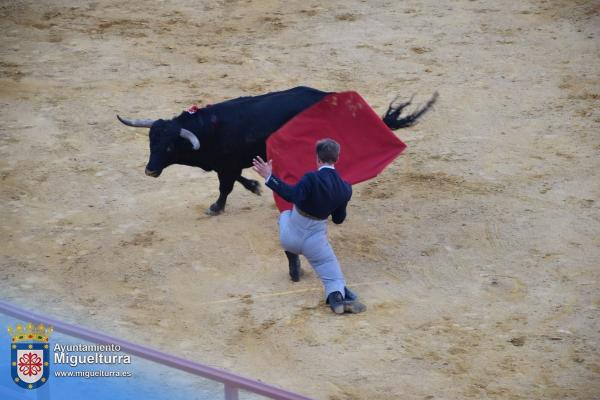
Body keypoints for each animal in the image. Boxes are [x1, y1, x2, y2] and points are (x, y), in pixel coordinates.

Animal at [116, 86, 436, 214]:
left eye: (170, 145)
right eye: (151, 142)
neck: (207, 129)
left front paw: (216, 208)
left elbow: (225, 187)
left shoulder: (228, 165)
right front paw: (255, 186)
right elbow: (236, 179)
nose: (150, 170)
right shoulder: (229, 163)